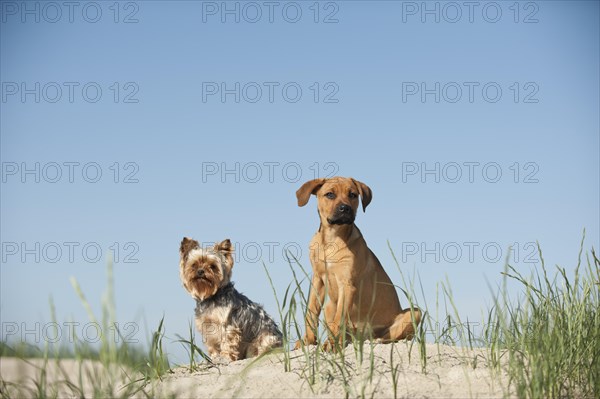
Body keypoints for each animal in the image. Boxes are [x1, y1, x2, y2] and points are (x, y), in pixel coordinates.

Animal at [292, 177, 420, 350]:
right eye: (330, 194)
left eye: (352, 194)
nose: (345, 209)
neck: (332, 239)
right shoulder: (318, 280)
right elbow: (311, 313)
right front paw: (308, 341)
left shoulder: (347, 285)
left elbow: (338, 319)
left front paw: (331, 345)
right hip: (330, 306)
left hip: (414, 313)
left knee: (391, 337)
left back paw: (375, 340)